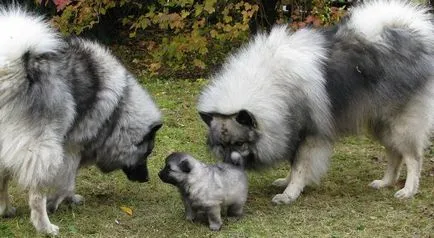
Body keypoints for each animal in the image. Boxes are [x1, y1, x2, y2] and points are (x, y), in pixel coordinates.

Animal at [0, 6, 162, 235]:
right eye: (147, 153)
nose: (147, 178)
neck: (118, 111)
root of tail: (14, 69)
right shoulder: (72, 148)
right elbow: (67, 181)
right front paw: (59, 201)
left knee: (2, 180)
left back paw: (5, 210)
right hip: (43, 149)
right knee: (36, 196)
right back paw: (45, 226)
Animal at [198, 0, 434, 205]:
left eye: (239, 144)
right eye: (221, 146)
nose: (227, 169)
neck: (270, 83)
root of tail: (414, 34)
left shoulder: (308, 136)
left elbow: (300, 167)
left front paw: (289, 194)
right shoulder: (291, 131)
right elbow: (293, 165)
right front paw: (286, 183)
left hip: (401, 125)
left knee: (413, 158)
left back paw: (408, 190)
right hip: (381, 124)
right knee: (395, 154)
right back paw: (385, 182)